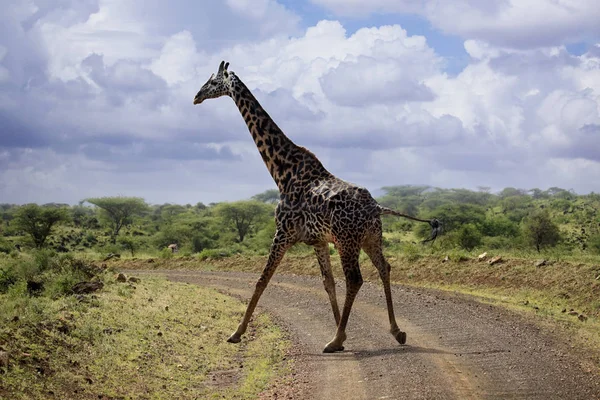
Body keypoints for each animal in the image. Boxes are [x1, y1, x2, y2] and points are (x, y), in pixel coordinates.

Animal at [193, 60, 440, 354]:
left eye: (212, 81)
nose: (196, 97)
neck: (281, 171)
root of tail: (377, 207)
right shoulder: (319, 241)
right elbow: (328, 283)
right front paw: (343, 335)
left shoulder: (282, 233)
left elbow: (262, 279)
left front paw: (236, 333)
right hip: (371, 238)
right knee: (384, 268)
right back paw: (396, 331)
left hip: (347, 240)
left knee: (355, 279)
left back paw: (334, 340)